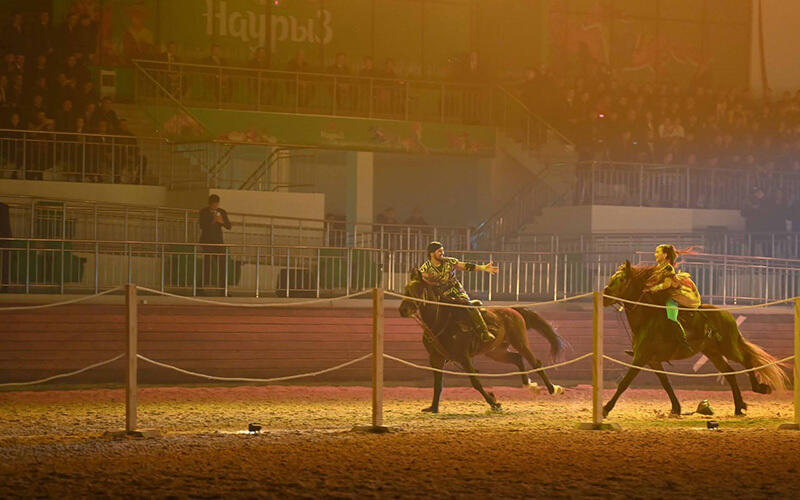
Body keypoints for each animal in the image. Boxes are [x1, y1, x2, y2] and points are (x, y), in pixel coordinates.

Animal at [398, 269, 566, 412]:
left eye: (418, 290)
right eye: (406, 289)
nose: (403, 310)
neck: (440, 321)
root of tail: (513, 310)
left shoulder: (463, 357)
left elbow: (475, 382)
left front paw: (494, 403)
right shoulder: (436, 359)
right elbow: (437, 384)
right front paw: (433, 408)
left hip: (520, 343)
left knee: (535, 363)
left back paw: (553, 389)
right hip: (496, 352)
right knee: (517, 359)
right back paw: (529, 385)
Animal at [602, 260, 789, 416]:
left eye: (621, 279)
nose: (604, 295)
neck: (647, 317)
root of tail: (726, 314)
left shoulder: (641, 358)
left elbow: (624, 383)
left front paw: (605, 409)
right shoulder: (653, 361)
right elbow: (666, 384)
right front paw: (676, 408)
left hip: (728, 348)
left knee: (747, 360)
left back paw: (759, 389)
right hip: (712, 352)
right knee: (730, 374)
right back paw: (738, 407)